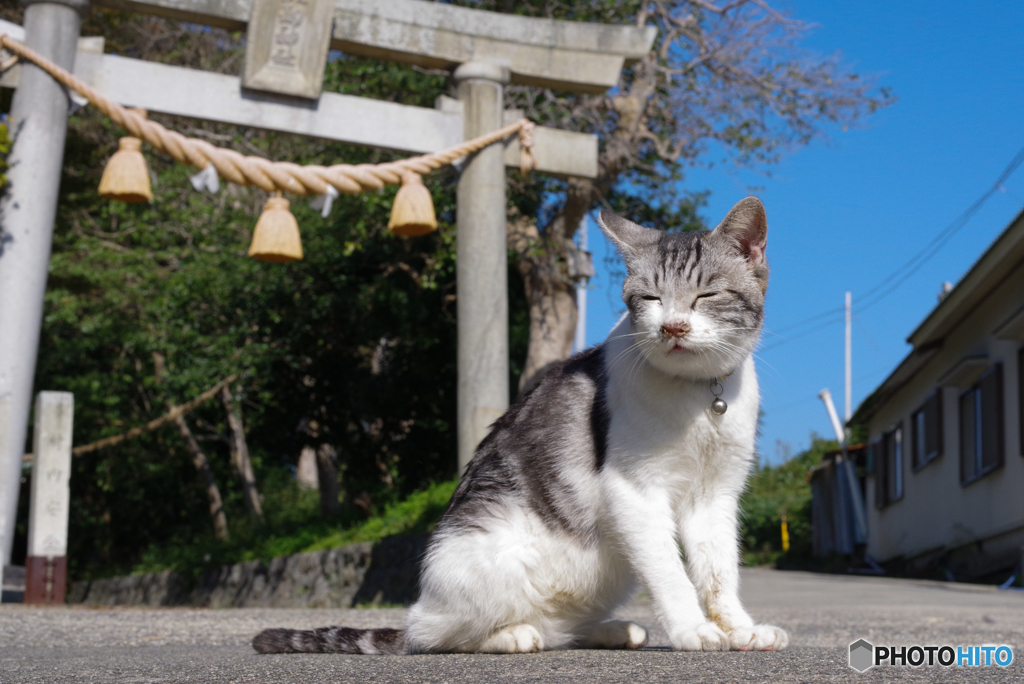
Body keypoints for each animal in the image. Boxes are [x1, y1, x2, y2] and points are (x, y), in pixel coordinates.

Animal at [251, 196, 786, 651]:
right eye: (651, 298)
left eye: (706, 294)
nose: (672, 326)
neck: (699, 395)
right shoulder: (635, 490)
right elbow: (670, 571)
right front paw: (693, 630)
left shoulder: (715, 494)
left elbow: (719, 571)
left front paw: (739, 627)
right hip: (490, 559)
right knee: (433, 633)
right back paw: (512, 635)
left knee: (561, 630)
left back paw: (610, 630)